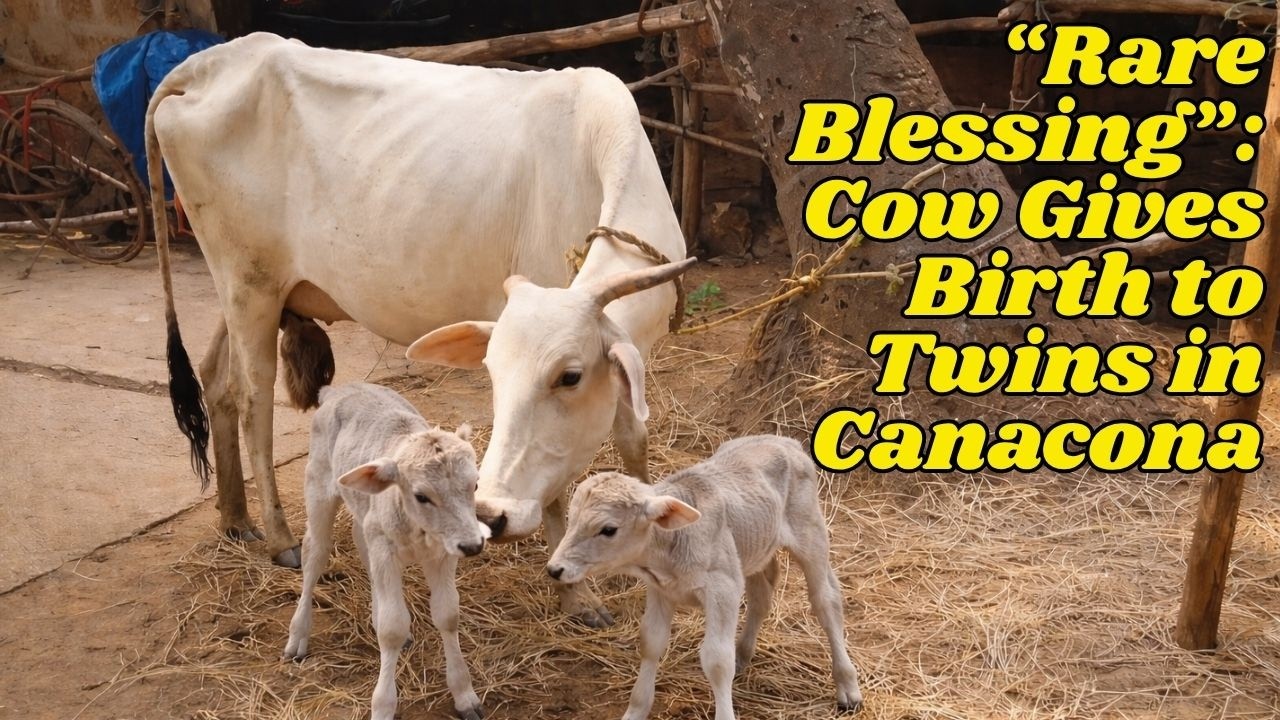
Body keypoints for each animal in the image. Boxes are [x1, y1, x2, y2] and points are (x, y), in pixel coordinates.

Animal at [146, 32, 692, 626]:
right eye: (493, 375)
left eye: (571, 376)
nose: (491, 515)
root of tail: (207, 64)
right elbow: (553, 488)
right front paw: (577, 596)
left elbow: (633, 439)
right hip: (249, 283)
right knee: (252, 400)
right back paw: (279, 536)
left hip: (243, 288)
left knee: (216, 381)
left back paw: (235, 518)